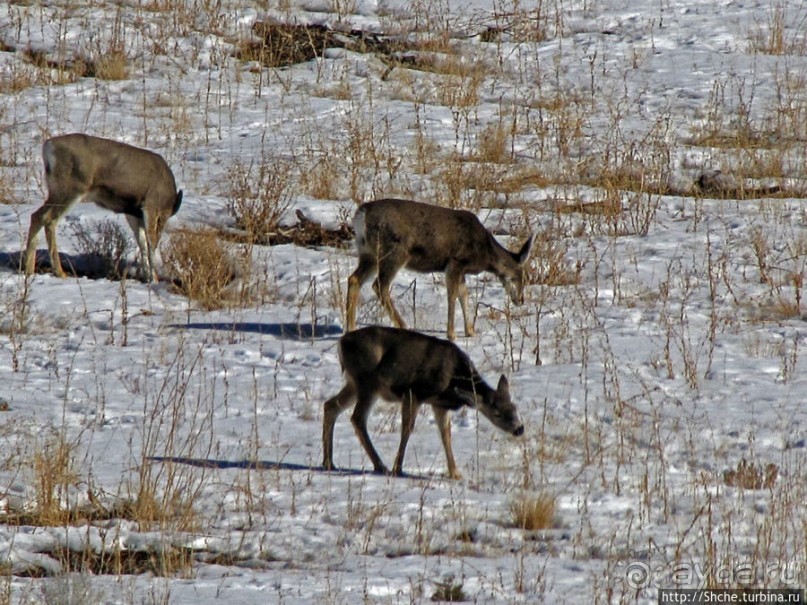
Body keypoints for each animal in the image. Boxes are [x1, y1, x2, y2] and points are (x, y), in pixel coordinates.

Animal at [22, 132, 183, 280]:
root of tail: (48, 146)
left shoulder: (133, 212)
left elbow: (142, 243)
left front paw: (146, 277)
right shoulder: (151, 206)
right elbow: (152, 243)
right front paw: (154, 280)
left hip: (56, 190)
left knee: (36, 216)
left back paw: (29, 270)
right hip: (72, 188)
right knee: (49, 219)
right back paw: (59, 272)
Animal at [322, 326, 524, 476]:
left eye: (514, 407)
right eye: (497, 414)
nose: (520, 429)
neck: (453, 378)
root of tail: (341, 342)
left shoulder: (439, 404)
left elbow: (446, 435)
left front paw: (455, 473)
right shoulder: (414, 393)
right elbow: (407, 429)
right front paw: (398, 468)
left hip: (354, 383)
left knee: (330, 405)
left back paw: (328, 462)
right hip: (368, 382)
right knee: (357, 417)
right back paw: (380, 465)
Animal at [344, 198, 532, 340]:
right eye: (521, 277)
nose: (521, 300)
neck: (485, 253)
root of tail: (362, 214)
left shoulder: (460, 269)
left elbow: (464, 294)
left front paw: (470, 331)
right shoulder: (455, 262)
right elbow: (453, 296)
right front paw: (452, 334)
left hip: (368, 253)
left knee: (354, 279)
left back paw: (350, 328)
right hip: (393, 252)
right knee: (379, 285)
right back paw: (404, 326)